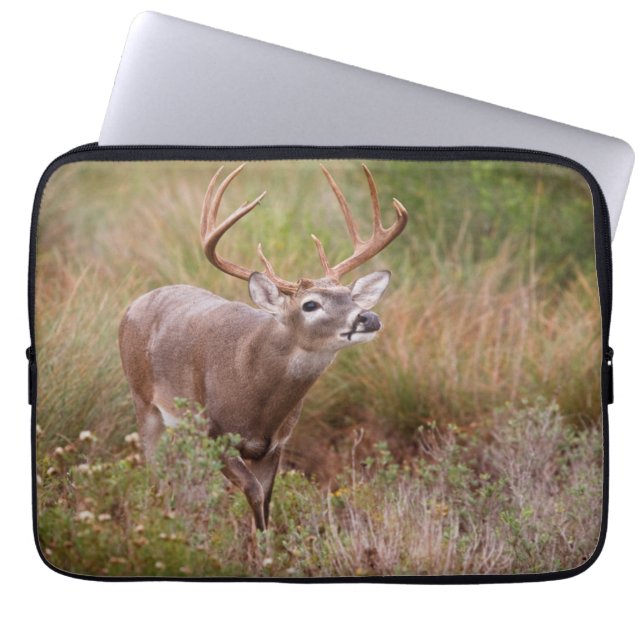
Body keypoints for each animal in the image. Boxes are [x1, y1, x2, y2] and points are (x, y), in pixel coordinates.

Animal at [118, 163, 408, 530]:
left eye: (349, 296)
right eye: (310, 304)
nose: (368, 318)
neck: (257, 394)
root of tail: (134, 304)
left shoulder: (276, 445)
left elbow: (266, 503)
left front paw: (266, 542)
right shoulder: (216, 434)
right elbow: (254, 493)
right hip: (142, 398)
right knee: (153, 470)